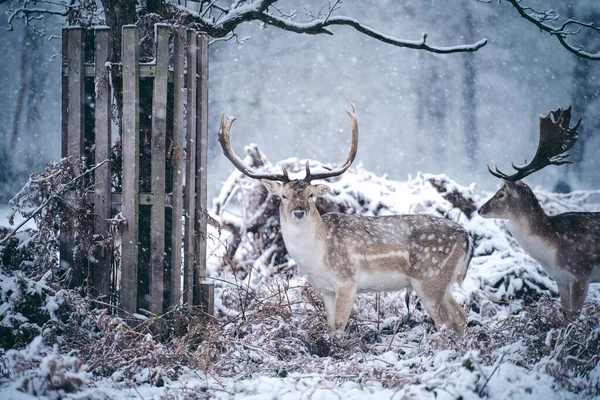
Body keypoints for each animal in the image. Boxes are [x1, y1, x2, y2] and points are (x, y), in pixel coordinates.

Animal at [217, 104, 474, 334]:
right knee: (460, 316)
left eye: (310, 195)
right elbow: (330, 327)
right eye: (283, 196)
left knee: (445, 322)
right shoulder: (326, 289)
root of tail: (467, 238)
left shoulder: (347, 280)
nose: (298, 212)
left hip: (429, 277)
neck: (315, 257)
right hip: (443, 282)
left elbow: (340, 325)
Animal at [478, 108, 600, 314]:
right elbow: (566, 315)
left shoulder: (581, 274)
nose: (480, 209)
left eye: (501, 194)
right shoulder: (561, 279)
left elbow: (575, 315)